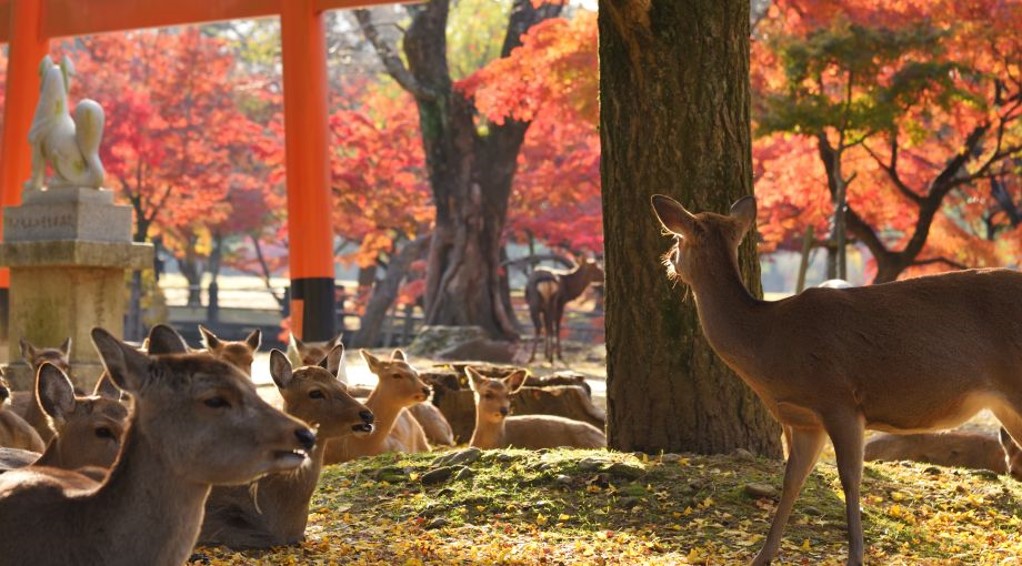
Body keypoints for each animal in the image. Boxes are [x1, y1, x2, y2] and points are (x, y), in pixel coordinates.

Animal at [649, 194, 1022, 563]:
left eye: (677, 239)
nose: (667, 259)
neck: (769, 342)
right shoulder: (804, 421)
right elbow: (792, 481)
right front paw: (762, 556)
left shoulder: (839, 399)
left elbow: (850, 478)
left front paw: (855, 555)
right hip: (1005, 406)